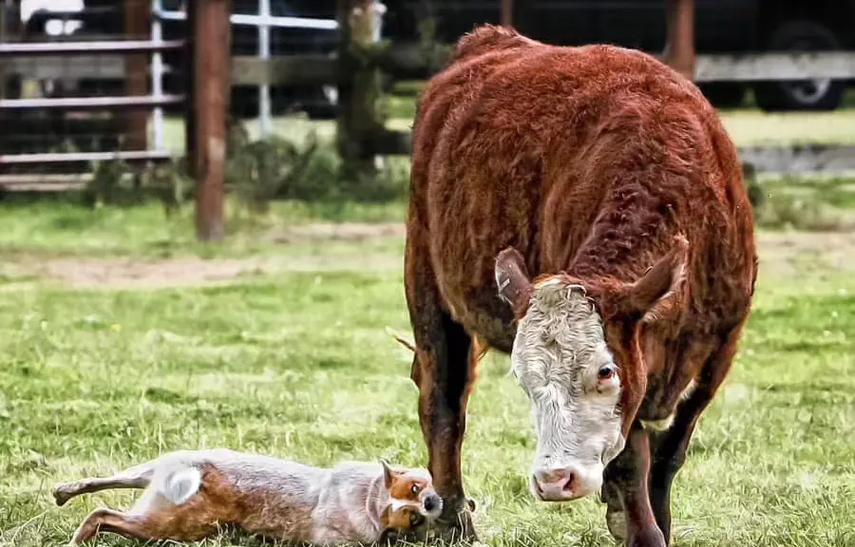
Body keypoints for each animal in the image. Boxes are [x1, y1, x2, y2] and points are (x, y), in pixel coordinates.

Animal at [404, 25, 760, 547]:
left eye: (604, 372)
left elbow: (671, 450)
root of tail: (492, 41)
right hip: (427, 283)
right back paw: (452, 519)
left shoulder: (721, 346)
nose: (555, 480)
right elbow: (634, 459)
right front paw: (640, 527)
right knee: (443, 401)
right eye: (524, 379)